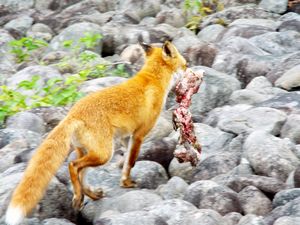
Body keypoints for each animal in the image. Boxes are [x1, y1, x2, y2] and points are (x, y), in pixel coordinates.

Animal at [5, 40, 186, 225]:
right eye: (185, 66)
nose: (190, 71)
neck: (153, 80)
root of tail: (73, 114)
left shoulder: (126, 137)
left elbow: (127, 161)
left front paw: (123, 180)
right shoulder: (139, 135)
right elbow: (131, 162)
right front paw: (127, 183)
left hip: (88, 151)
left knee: (80, 173)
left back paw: (88, 195)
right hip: (104, 154)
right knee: (73, 166)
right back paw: (80, 195)